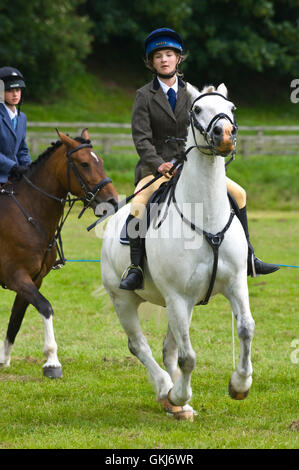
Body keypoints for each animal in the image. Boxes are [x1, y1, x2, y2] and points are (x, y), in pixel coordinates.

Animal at [0, 129, 119, 378]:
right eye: (84, 164)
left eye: (101, 162)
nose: (112, 201)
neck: (28, 212)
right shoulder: (16, 275)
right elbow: (45, 307)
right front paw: (52, 361)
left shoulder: (34, 279)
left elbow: (16, 317)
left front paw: (3, 358)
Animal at [101, 82, 255, 420]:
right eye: (197, 110)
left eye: (232, 108)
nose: (225, 134)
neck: (206, 216)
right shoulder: (177, 296)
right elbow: (188, 357)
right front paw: (179, 393)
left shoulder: (236, 283)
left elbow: (246, 329)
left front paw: (239, 385)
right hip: (126, 300)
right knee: (139, 346)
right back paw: (167, 391)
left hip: (179, 306)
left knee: (168, 349)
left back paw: (176, 404)